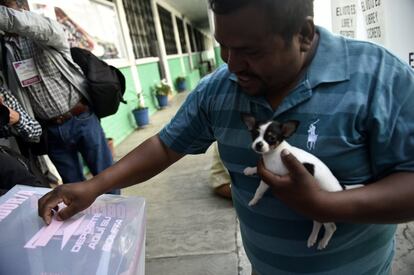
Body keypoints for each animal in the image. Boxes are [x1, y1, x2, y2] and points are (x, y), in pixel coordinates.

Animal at [241, 114, 344, 250]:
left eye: (271, 138)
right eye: (254, 134)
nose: (258, 144)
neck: (274, 152)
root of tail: (341, 189)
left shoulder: (270, 177)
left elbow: (259, 190)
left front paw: (254, 200)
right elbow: (257, 169)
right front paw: (250, 170)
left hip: (324, 210)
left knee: (331, 227)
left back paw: (323, 242)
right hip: (314, 208)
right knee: (317, 223)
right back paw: (312, 238)